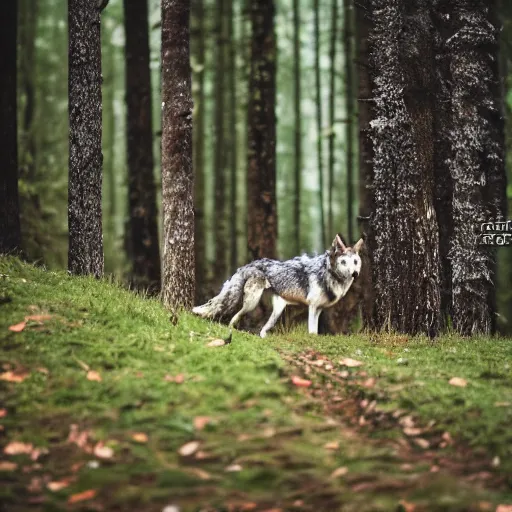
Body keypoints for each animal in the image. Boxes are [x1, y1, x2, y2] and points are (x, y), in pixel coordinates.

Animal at [192, 234, 364, 338]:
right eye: (344, 262)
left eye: (355, 262)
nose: (355, 274)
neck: (327, 272)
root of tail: (247, 265)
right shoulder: (312, 307)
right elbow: (311, 330)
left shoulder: (319, 309)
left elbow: (315, 332)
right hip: (252, 303)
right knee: (235, 316)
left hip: (276, 311)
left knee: (262, 329)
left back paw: (263, 337)